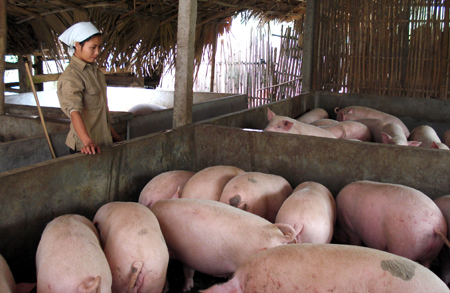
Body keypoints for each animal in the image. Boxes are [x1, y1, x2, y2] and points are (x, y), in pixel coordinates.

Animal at [150, 197, 296, 290]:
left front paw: (183, 289)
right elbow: (188, 271)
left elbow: (185, 271)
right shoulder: (187, 257)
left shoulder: (183, 255)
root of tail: (280, 237)